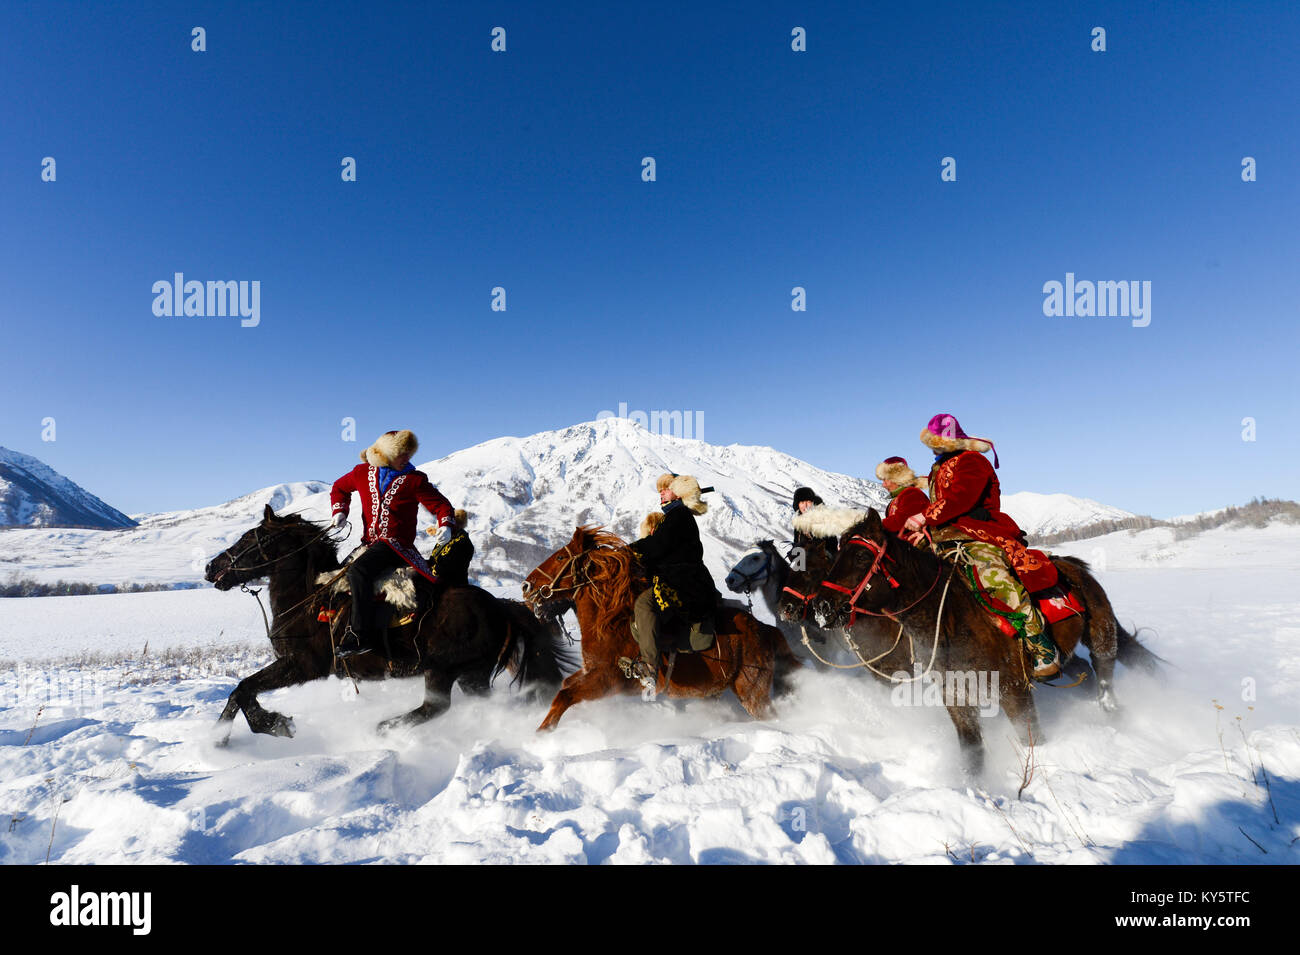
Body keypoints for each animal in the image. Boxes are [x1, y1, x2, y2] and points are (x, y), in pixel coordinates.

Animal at [204, 509, 574, 738]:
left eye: (249, 540)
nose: (211, 568)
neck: (308, 598)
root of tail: (499, 606)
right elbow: (241, 692)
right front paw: (223, 738)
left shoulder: (303, 665)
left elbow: (245, 688)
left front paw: (270, 725)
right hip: (473, 674)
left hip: (441, 668)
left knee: (435, 707)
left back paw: (384, 728)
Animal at [520, 530, 800, 732]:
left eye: (559, 558)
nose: (526, 586)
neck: (610, 622)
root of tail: (764, 629)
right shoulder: (590, 672)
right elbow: (566, 686)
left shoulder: (606, 681)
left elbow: (565, 695)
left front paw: (541, 733)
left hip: (752, 692)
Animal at [811, 511, 1159, 774]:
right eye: (836, 554)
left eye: (860, 555)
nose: (822, 606)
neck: (952, 615)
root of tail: (1074, 566)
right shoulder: (956, 697)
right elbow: (972, 751)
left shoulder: (1014, 690)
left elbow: (1032, 738)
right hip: (1068, 653)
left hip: (1101, 630)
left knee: (1104, 668)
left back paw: (1115, 712)